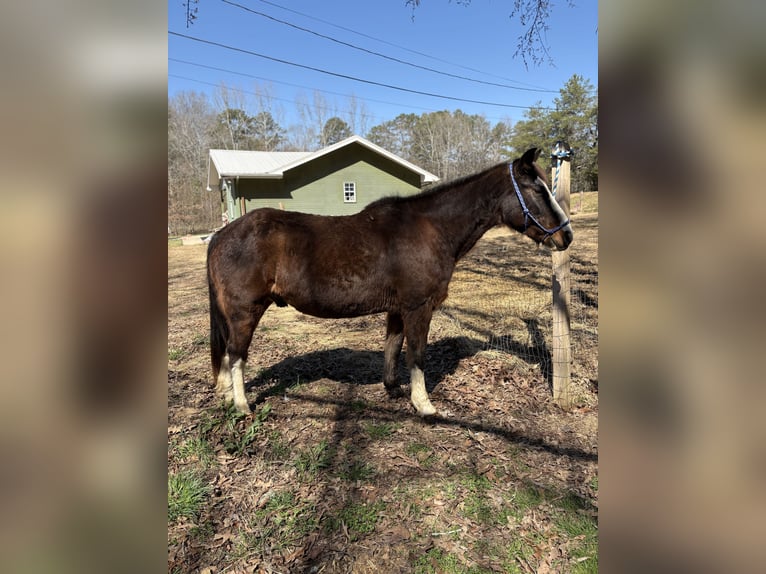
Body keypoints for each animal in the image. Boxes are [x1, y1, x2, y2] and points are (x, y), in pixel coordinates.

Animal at [207, 148, 572, 418]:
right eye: (537, 189)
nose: (566, 236)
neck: (429, 229)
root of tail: (222, 234)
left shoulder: (398, 309)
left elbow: (393, 347)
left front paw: (393, 388)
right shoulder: (418, 308)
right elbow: (417, 354)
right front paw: (424, 405)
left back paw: (225, 396)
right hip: (245, 312)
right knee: (236, 353)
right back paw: (241, 405)